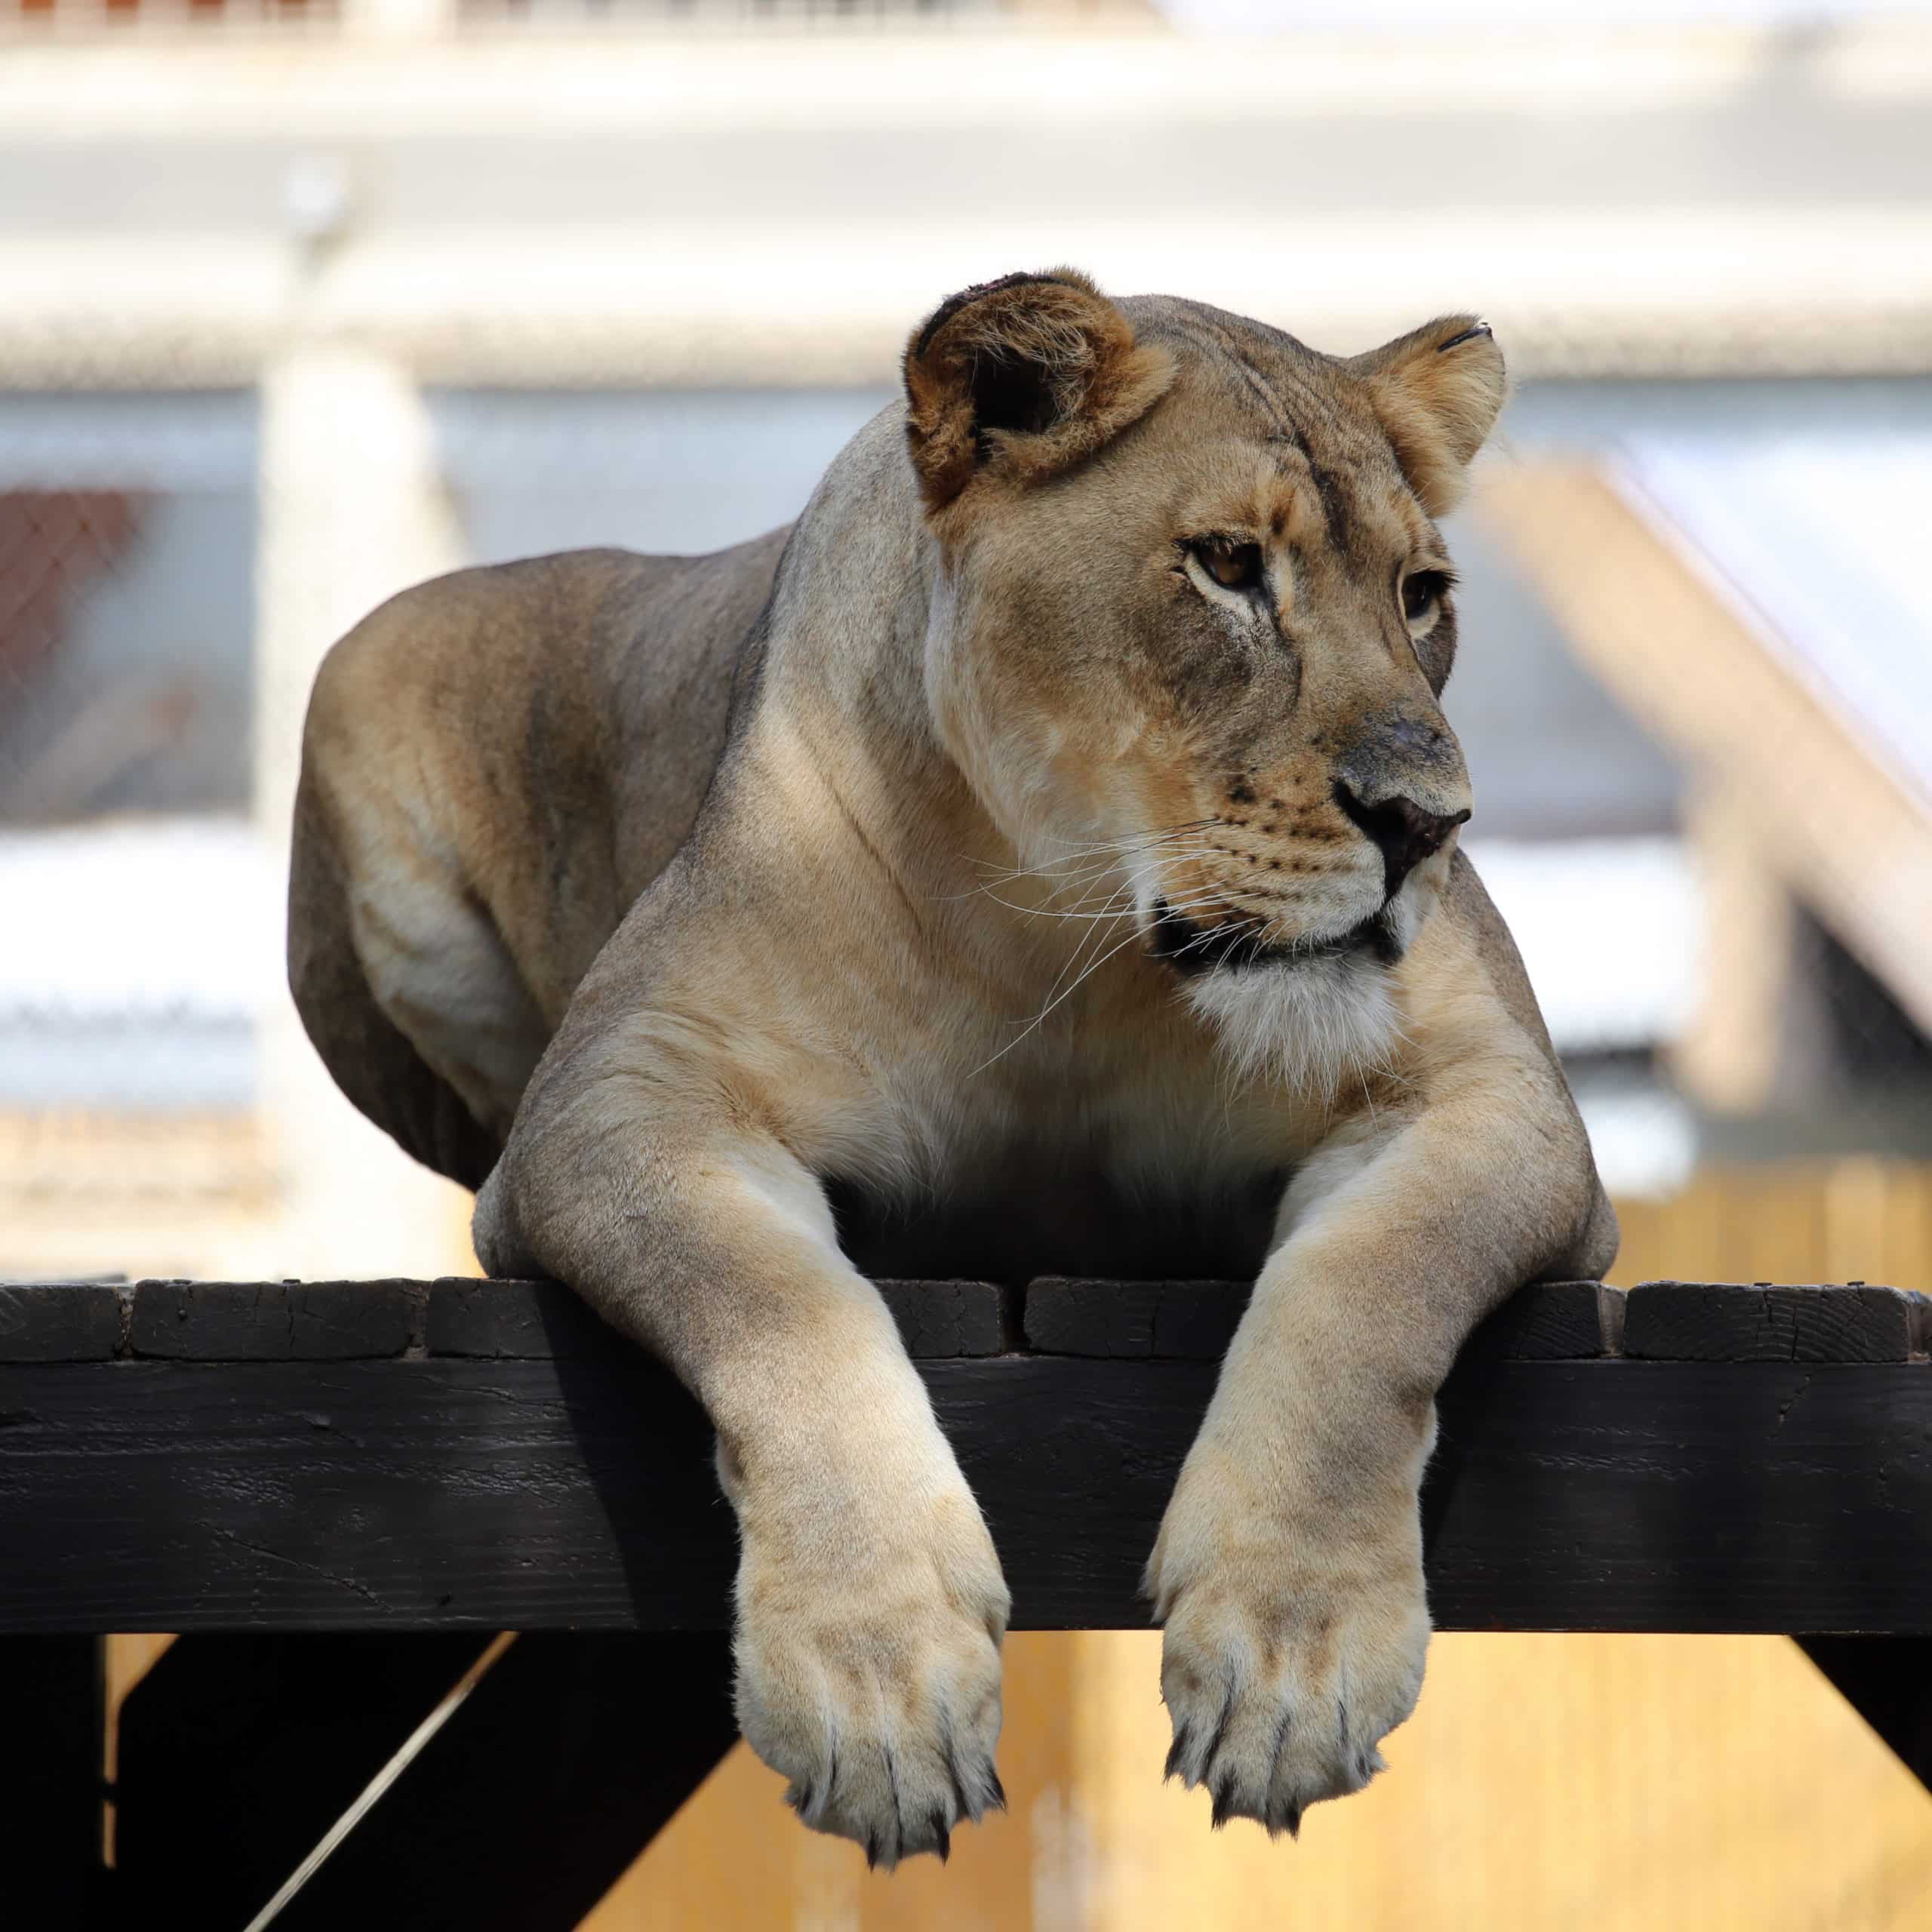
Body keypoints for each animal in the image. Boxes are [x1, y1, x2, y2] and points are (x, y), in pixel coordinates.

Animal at [290, 270, 1616, 1865]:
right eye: (1228, 567)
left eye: (1423, 597)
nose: (1431, 822)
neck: (1068, 943)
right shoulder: (613, 1103)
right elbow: (778, 1301)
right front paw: (879, 1686)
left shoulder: (1501, 1097)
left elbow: (1373, 1290)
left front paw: (1290, 1654)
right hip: (362, 685)